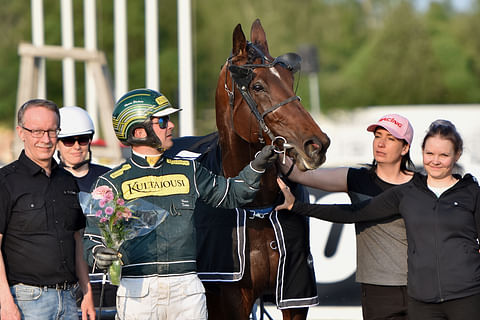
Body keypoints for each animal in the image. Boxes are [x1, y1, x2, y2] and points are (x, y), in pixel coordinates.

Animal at [204, 19, 332, 320]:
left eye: (288, 80)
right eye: (258, 86)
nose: (316, 144)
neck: (257, 210)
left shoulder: (295, 294)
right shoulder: (232, 296)